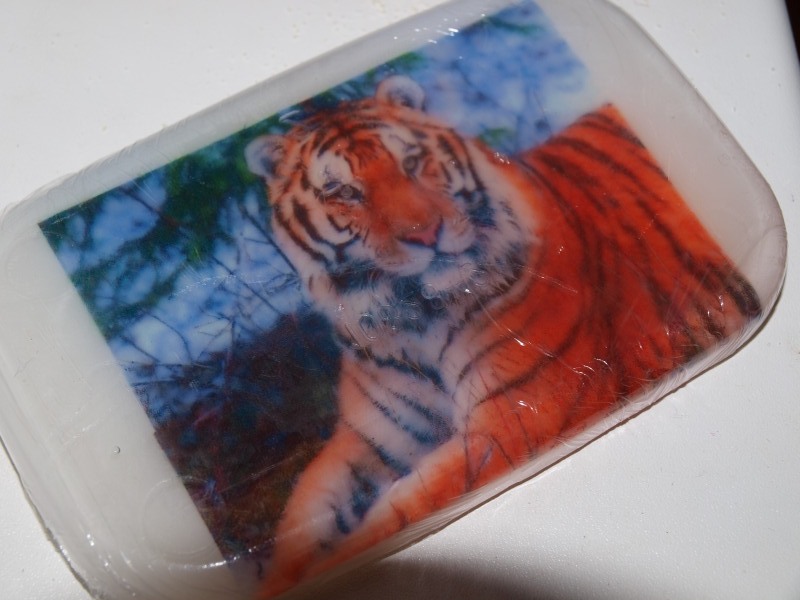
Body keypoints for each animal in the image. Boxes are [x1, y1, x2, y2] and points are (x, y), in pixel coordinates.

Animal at [245, 75, 760, 597]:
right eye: (344, 192)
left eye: (411, 163)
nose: (426, 235)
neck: (415, 317)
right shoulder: (366, 440)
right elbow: (299, 521)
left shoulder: (513, 419)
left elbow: (392, 517)